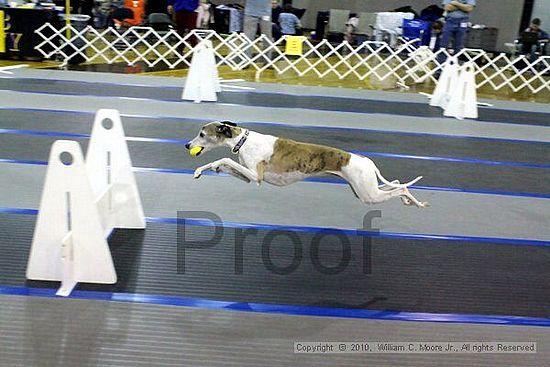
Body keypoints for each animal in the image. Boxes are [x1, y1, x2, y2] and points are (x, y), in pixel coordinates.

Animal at [187, 121, 432, 207]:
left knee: (400, 187)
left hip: (367, 194)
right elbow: (222, 162)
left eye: (202, 134)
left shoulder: (256, 176)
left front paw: (206, 167)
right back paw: (409, 201)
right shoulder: (248, 177)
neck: (243, 140)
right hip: (365, 188)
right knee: (398, 183)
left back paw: (417, 203)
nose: (187, 144)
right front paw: (204, 170)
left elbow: (224, 158)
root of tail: (366, 161)